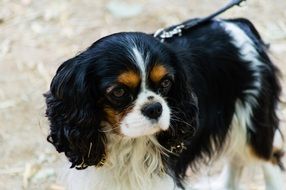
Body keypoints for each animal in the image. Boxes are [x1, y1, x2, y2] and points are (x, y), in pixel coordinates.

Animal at [44, 17, 284, 189]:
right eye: (119, 91)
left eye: (166, 82)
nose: (155, 108)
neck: (126, 143)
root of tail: (236, 25)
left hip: (253, 121)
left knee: (268, 159)